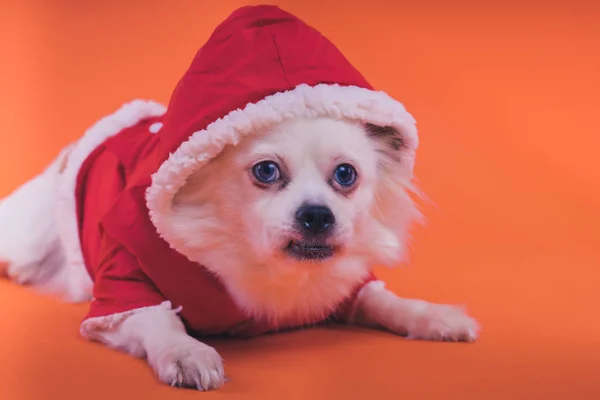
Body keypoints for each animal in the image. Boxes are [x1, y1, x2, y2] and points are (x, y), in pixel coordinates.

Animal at [0, 3, 478, 390]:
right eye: (266, 171)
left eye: (346, 175)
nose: (317, 215)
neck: (263, 265)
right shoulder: (120, 288)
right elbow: (158, 319)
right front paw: (188, 353)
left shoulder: (346, 284)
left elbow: (384, 299)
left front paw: (435, 317)